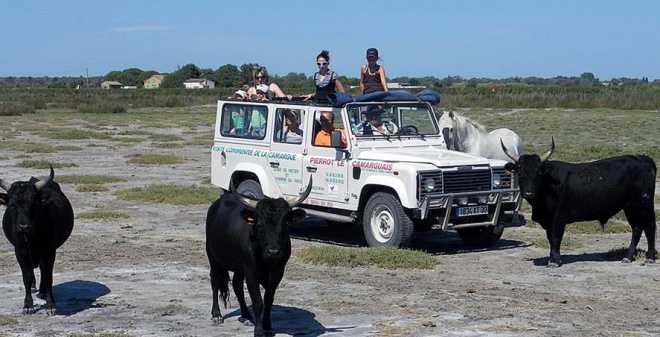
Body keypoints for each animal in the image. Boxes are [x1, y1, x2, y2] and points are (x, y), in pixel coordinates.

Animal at [0, 167, 74, 314]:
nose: (23, 226)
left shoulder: (49, 251)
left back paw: (42, 289)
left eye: (33, 204)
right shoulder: (19, 252)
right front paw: (28, 305)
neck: (31, 238)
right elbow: (27, 277)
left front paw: (51, 305)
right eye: (12, 205)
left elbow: (48, 277)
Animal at [205, 180, 310, 334]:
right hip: (213, 257)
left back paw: (246, 316)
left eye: (285, 224)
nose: (273, 251)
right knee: (215, 281)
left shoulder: (277, 273)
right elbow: (257, 302)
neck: (266, 261)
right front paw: (259, 331)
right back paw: (216, 315)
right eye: (259, 225)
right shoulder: (251, 274)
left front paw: (267, 327)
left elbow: (268, 300)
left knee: (236, 284)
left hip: (238, 266)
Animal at [502, 138, 656, 266]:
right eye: (520, 173)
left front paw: (554, 261)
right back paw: (628, 257)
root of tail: (642, 159)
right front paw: (553, 258)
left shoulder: (559, 217)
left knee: (650, 227)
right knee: (636, 229)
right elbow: (550, 238)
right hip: (630, 207)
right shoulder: (548, 221)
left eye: (538, 173)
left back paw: (650, 258)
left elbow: (556, 237)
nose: (528, 193)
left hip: (644, 204)